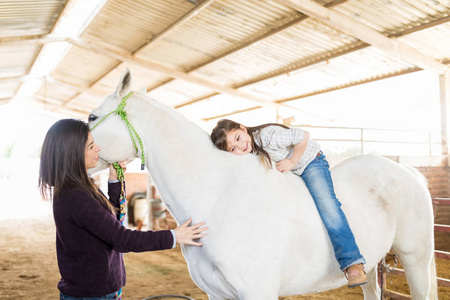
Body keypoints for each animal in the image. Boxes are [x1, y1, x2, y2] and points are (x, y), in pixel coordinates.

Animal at [88, 69, 436, 300]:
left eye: (92, 117)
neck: (217, 198)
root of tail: (408, 172)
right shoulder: (218, 295)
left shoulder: (257, 291)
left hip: (416, 258)